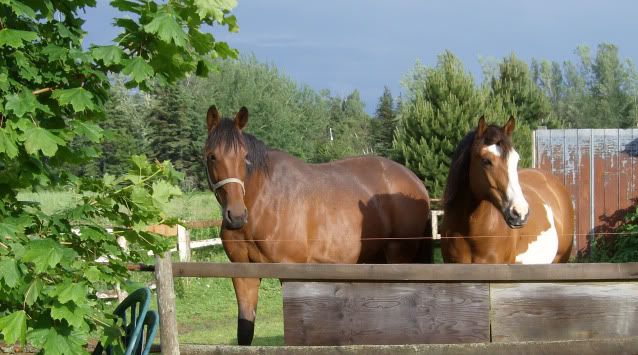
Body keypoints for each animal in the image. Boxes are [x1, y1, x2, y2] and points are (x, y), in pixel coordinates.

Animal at [204, 105, 436, 344]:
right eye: (212, 156)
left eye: (244, 157)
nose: (236, 215)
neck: (264, 202)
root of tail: (415, 181)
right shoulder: (243, 276)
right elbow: (245, 331)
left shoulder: (291, 273)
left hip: (399, 255)